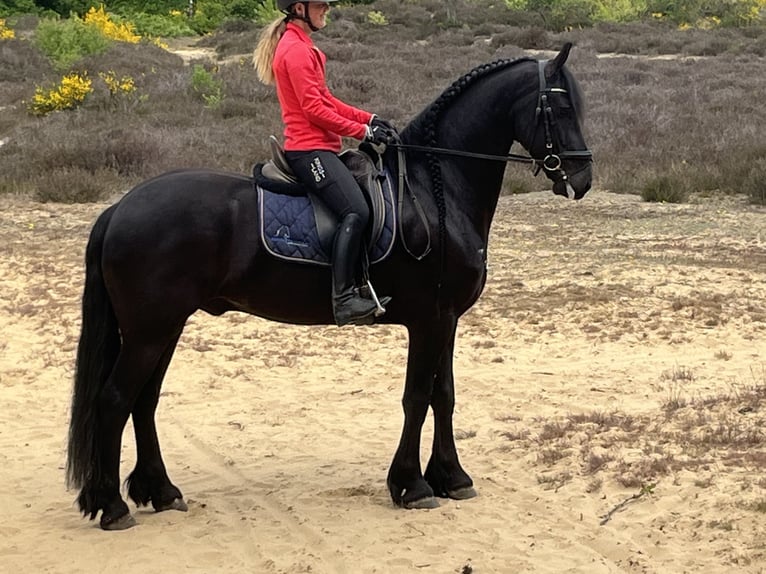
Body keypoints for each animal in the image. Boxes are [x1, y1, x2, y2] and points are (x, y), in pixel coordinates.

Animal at [66, 43, 592, 530]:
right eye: (562, 107)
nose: (583, 178)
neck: (433, 191)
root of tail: (120, 208)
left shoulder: (447, 320)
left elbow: (443, 395)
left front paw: (452, 477)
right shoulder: (429, 320)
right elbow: (416, 397)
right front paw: (412, 485)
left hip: (164, 328)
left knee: (144, 401)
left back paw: (160, 491)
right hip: (149, 332)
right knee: (115, 400)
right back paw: (113, 506)